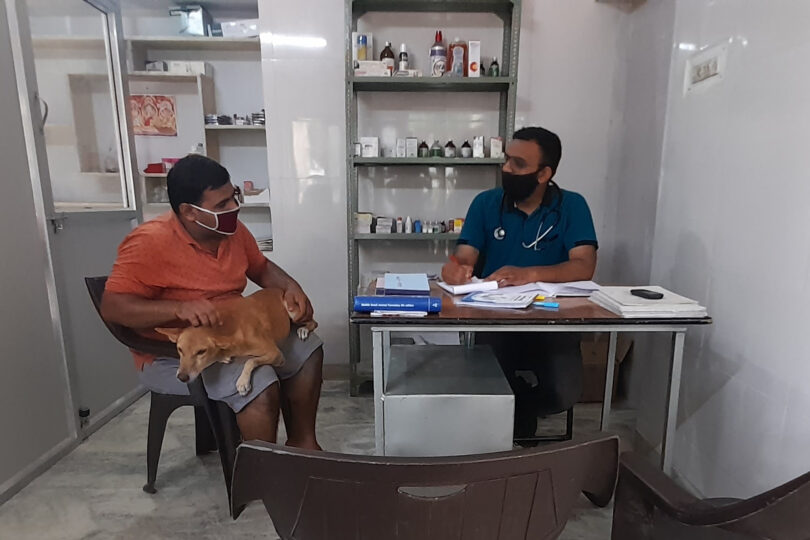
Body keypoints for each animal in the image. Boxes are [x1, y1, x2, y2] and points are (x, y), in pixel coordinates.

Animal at [155, 286, 316, 396]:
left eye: (201, 352)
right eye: (179, 349)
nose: (182, 377)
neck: (225, 329)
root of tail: (281, 289)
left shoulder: (276, 354)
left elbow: (250, 360)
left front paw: (243, 382)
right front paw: (223, 357)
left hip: (294, 312)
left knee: (314, 322)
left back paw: (304, 329)